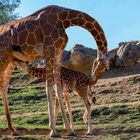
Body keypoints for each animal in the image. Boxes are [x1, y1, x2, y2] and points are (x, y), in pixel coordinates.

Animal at [0, 5, 109, 137]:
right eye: (105, 67)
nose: (92, 80)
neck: (64, 19)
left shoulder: (57, 55)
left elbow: (58, 89)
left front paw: (68, 130)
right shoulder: (49, 52)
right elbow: (49, 89)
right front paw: (53, 131)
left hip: (9, 61)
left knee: (3, 87)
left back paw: (13, 130)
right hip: (4, 58)